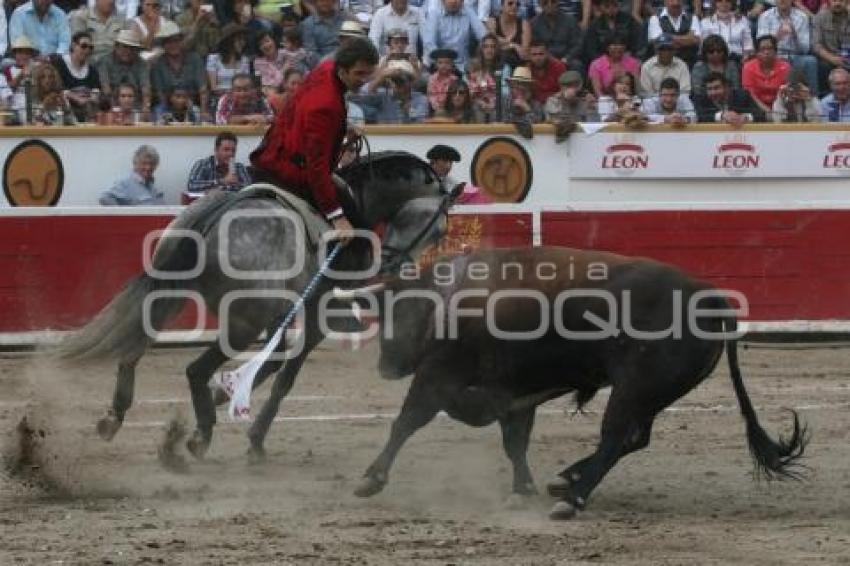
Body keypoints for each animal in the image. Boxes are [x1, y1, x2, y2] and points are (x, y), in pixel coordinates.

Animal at [58, 152, 454, 462]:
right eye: (437, 229)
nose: (393, 265)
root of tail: (217, 214)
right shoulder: (316, 315)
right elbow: (283, 375)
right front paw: (253, 438)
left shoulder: (283, 316)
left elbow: (272, 363)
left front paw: (226, 395)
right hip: (242, 322)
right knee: (194, 369)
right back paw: (200, 436)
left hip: (172, 295)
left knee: (133, 350)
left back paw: (115, 417)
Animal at [346, 246, 808, 520]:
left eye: (391, 313)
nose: (385, 366)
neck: (445, 298)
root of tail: (709, 297)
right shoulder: (515, 393)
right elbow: (515, 441)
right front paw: (523, 489)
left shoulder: (438, 376)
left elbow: (406, 422)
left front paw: (370, 479)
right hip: (652, 394)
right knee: (633, 438)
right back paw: (565, 479)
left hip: (634, 388)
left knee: (615, 436)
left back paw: (572, 497)